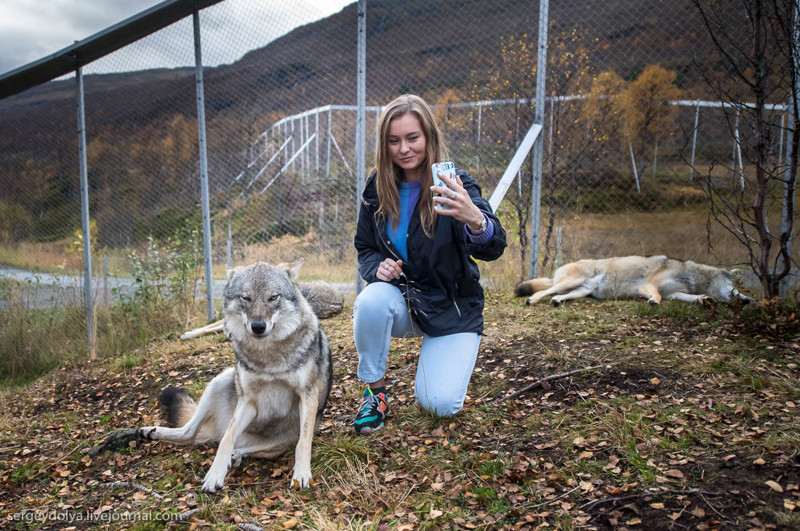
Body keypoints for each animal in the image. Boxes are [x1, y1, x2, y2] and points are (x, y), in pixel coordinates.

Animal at [139, 262, 332, 494]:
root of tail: (215, 428)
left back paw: (235, 457)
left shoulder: (307, 394)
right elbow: (226, 439)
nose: (258, 326)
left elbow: (303, 442)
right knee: (194, 433)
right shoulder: (247, 401)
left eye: (273, 297)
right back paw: (152, 432)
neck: (269, 358)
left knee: (240, 446)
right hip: (221, 380)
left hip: (279, 441)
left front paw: (302, 474)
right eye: (246, 298)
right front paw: (214, 475)